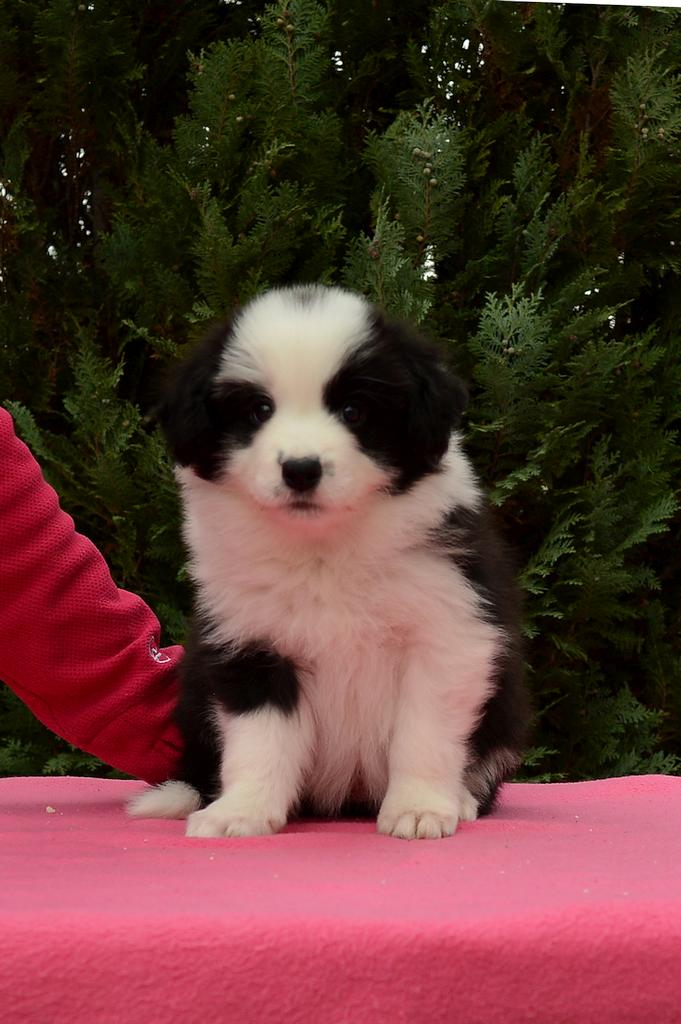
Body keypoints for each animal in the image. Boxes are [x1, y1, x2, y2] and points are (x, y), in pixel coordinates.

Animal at [129, 284, 529, 839]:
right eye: (258, 410)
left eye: (354, 411)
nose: (300, 469)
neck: (323, 550)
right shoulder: (250, 641)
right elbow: (259, 738)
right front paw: (242, 810)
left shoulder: (447, 633)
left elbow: (423, 732)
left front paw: (419, 807)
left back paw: (463, 798)